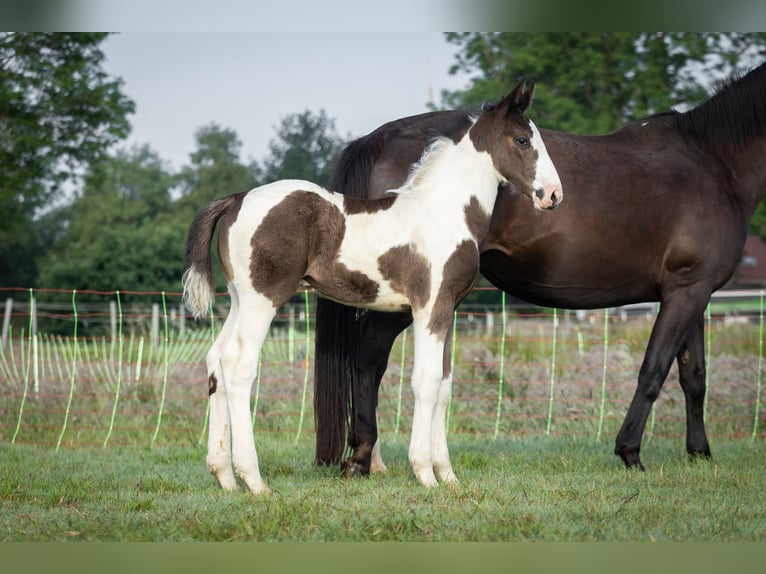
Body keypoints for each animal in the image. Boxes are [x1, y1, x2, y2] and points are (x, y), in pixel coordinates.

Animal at [182, 81, 560, 496]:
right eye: (522, 140)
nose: (552, 195)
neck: (443, 211)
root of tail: (237, 199)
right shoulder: (429, 308)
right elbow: (425, 382)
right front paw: (425, 474)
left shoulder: (448, 310)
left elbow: (444, 385)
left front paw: (448, 475)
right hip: (262, 301)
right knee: (238, 366)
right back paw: (254, 480)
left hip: (238, 300)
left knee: (215, 361)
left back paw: (225, 476)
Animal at [316, 62, 766, 476]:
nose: (552, 194)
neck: (714, 163)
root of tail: (380, 137)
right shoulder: (686, 290)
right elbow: (654, 370)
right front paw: (631, 452)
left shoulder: (693, 291)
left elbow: (694, 376)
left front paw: (700, 453)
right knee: (369, 353)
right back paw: (363, 457)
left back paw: (370, 458)